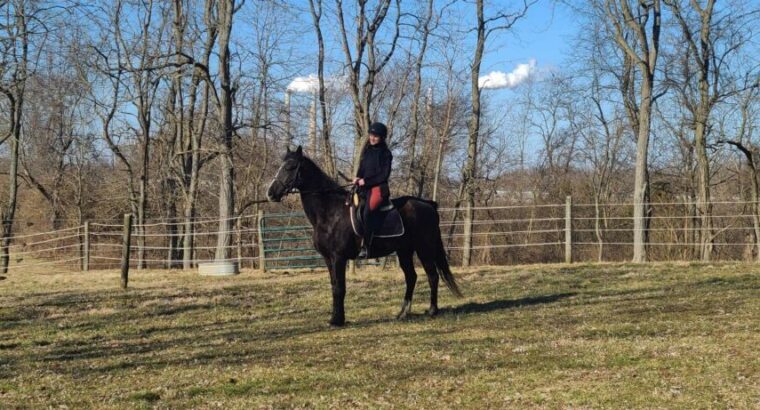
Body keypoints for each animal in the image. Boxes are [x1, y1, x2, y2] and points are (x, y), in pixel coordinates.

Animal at [268, 146, 460, 326]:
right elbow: (334, 286)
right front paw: (335, 318)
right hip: (404, 251)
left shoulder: (339, 257)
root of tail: (428, 205)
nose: (270, 193)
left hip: (424, 248)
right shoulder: (328, 258)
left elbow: (340, 288)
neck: (329, 212)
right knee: (411, 277)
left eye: (291, 167)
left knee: (432, 275)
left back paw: (432, 310)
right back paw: (403, 313)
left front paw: (337, 320)